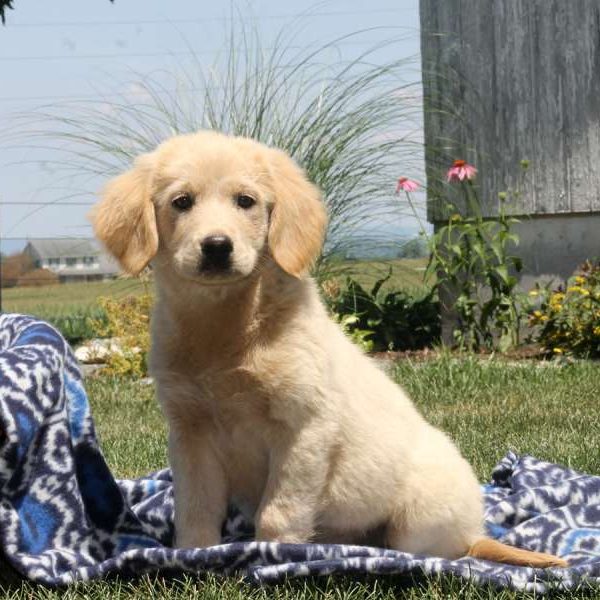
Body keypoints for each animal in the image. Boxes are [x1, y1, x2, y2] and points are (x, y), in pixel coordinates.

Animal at [92, 130, 568, 568]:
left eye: (245, 201)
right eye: (181, 202)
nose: (216, 246)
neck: (226, 327)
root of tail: (476, 530)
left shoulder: (304, 427)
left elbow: (278, 514)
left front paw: (271, 556)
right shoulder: (190, 432)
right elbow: (195, 509)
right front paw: (193, 555)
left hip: (419, 517)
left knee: (438, 550)